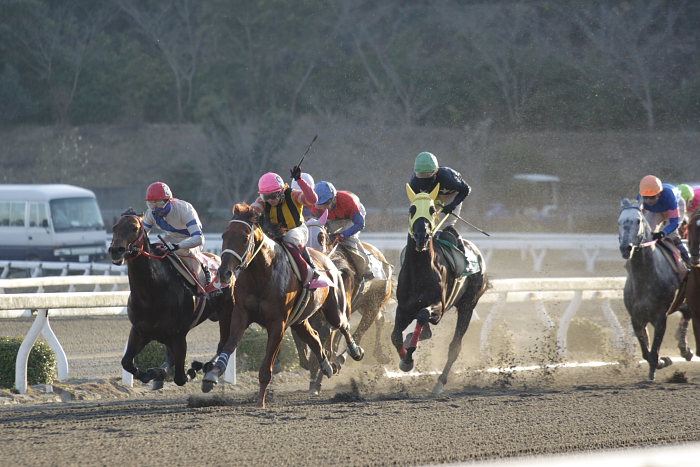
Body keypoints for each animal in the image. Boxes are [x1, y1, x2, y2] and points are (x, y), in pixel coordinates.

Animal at [106, 210, 232, 390]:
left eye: (134, 228)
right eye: (114, 227)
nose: (116, 250)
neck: (151, 293)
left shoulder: (178, 336)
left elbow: (180, 377)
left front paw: (194, 368)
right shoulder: (139, 331)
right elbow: (127, 362)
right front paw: (151, 374)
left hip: (226, 314)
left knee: (224, 344)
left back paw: (209, 367)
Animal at [202, 203, 364, 408]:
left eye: (245, 238)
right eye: (224, 236)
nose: (224, 273)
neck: (261, 275)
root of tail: (327, 259)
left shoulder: (277, 324)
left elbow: (266, 368)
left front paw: (261, 401)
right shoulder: (241, 315)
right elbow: (229, 345)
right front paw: (212, 374)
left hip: (334, 309)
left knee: (343, 326)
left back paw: (353, 352)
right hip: (300, 319)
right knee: (314, 337)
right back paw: (326, 366)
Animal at [394, 184, 486, 394]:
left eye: (431, 210)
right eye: (411, 209)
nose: (421, 237)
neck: (419, 271)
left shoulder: (439, 308)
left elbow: (422, 315)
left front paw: (408, 358)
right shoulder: (403, 308)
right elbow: (395, 336)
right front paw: (405, 360)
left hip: (468, 305)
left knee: (455, 346)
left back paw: (439, 383)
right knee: (424, 331)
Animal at [616, 198, 688, 380]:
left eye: (638, 221)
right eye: (619, 221)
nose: (625, 248)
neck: (646, 277)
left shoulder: (660, 317)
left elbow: (654, 350)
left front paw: (658, 366)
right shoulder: (636, 318)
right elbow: (646, 352)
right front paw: (663, 361)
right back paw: (685, 350)